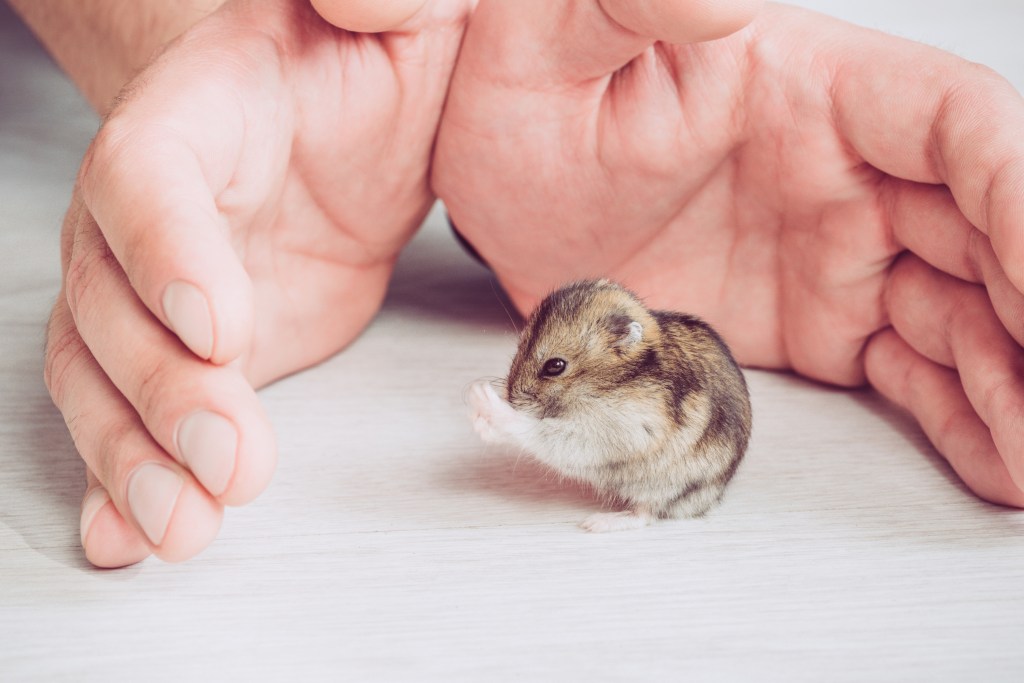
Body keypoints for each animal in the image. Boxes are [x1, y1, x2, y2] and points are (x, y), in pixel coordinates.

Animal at [468, 278, 753, 532]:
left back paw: (594, 523)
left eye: (555, 366)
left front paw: (481, 399)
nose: (511, 398)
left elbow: (543, 431)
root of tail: (711, 501)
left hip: (664, 488)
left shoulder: (621, 428)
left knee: (645, 515)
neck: (608, 382)